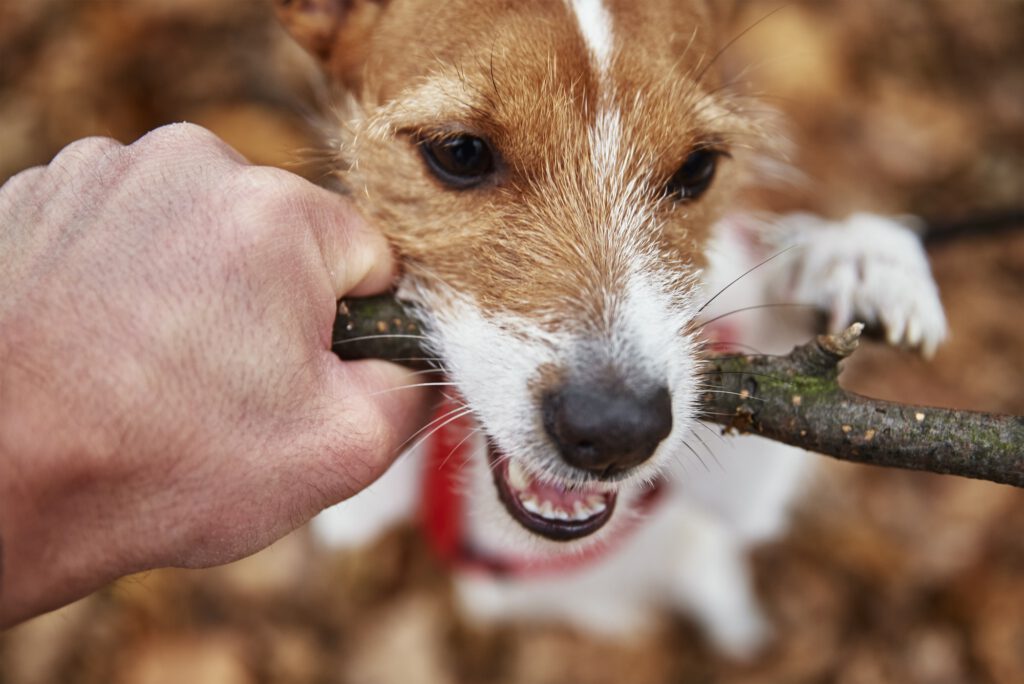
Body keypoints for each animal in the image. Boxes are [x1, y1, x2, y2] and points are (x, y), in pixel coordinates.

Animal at [272, 0, 942, 655]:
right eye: (459, 151)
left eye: (698, 167)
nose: (618, 431)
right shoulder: (355, 514)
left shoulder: (737, 497)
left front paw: (851, 258)